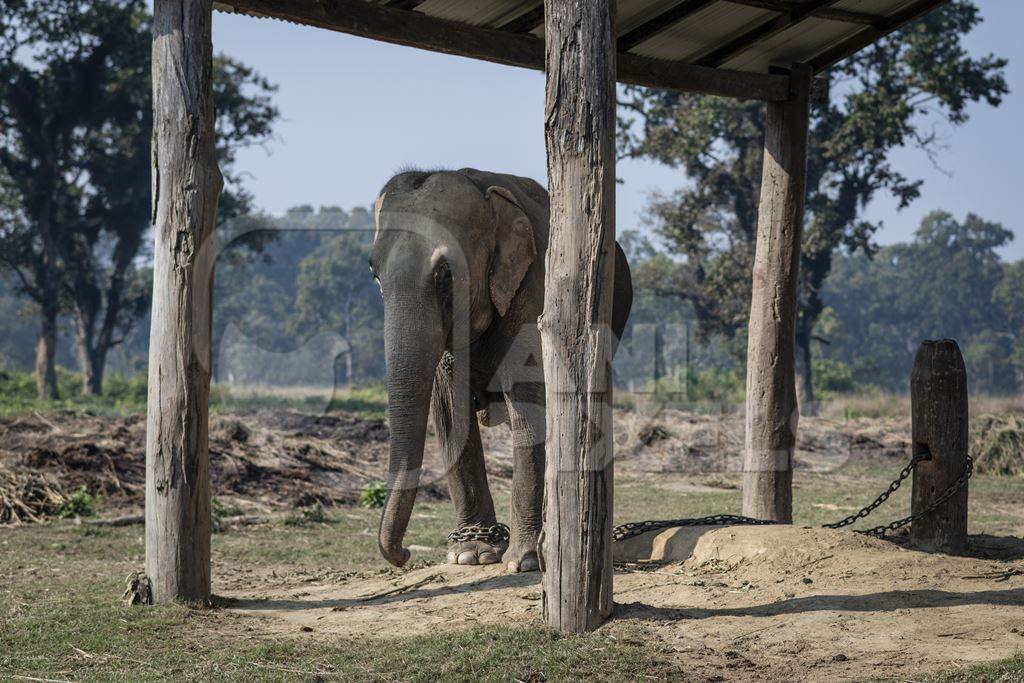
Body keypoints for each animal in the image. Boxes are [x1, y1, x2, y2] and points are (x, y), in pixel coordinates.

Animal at [370, 167, 632, 573]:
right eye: (374, 272)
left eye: (446, 273)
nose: (405, 555)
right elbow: (449, 412)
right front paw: (470, 554)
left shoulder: (534, 290)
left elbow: (528, 404)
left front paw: (522, 560)